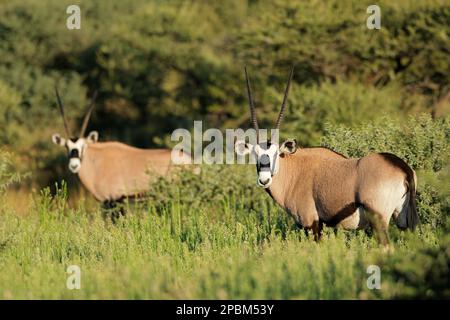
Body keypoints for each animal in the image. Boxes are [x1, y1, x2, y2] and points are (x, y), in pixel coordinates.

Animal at [236, 66, 418, 244]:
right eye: (255, 154)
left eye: (275, 154)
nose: (264, 180)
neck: (294, 171)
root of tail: (403, 168)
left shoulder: (311, 222)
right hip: (404, 220)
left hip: (378, 220)